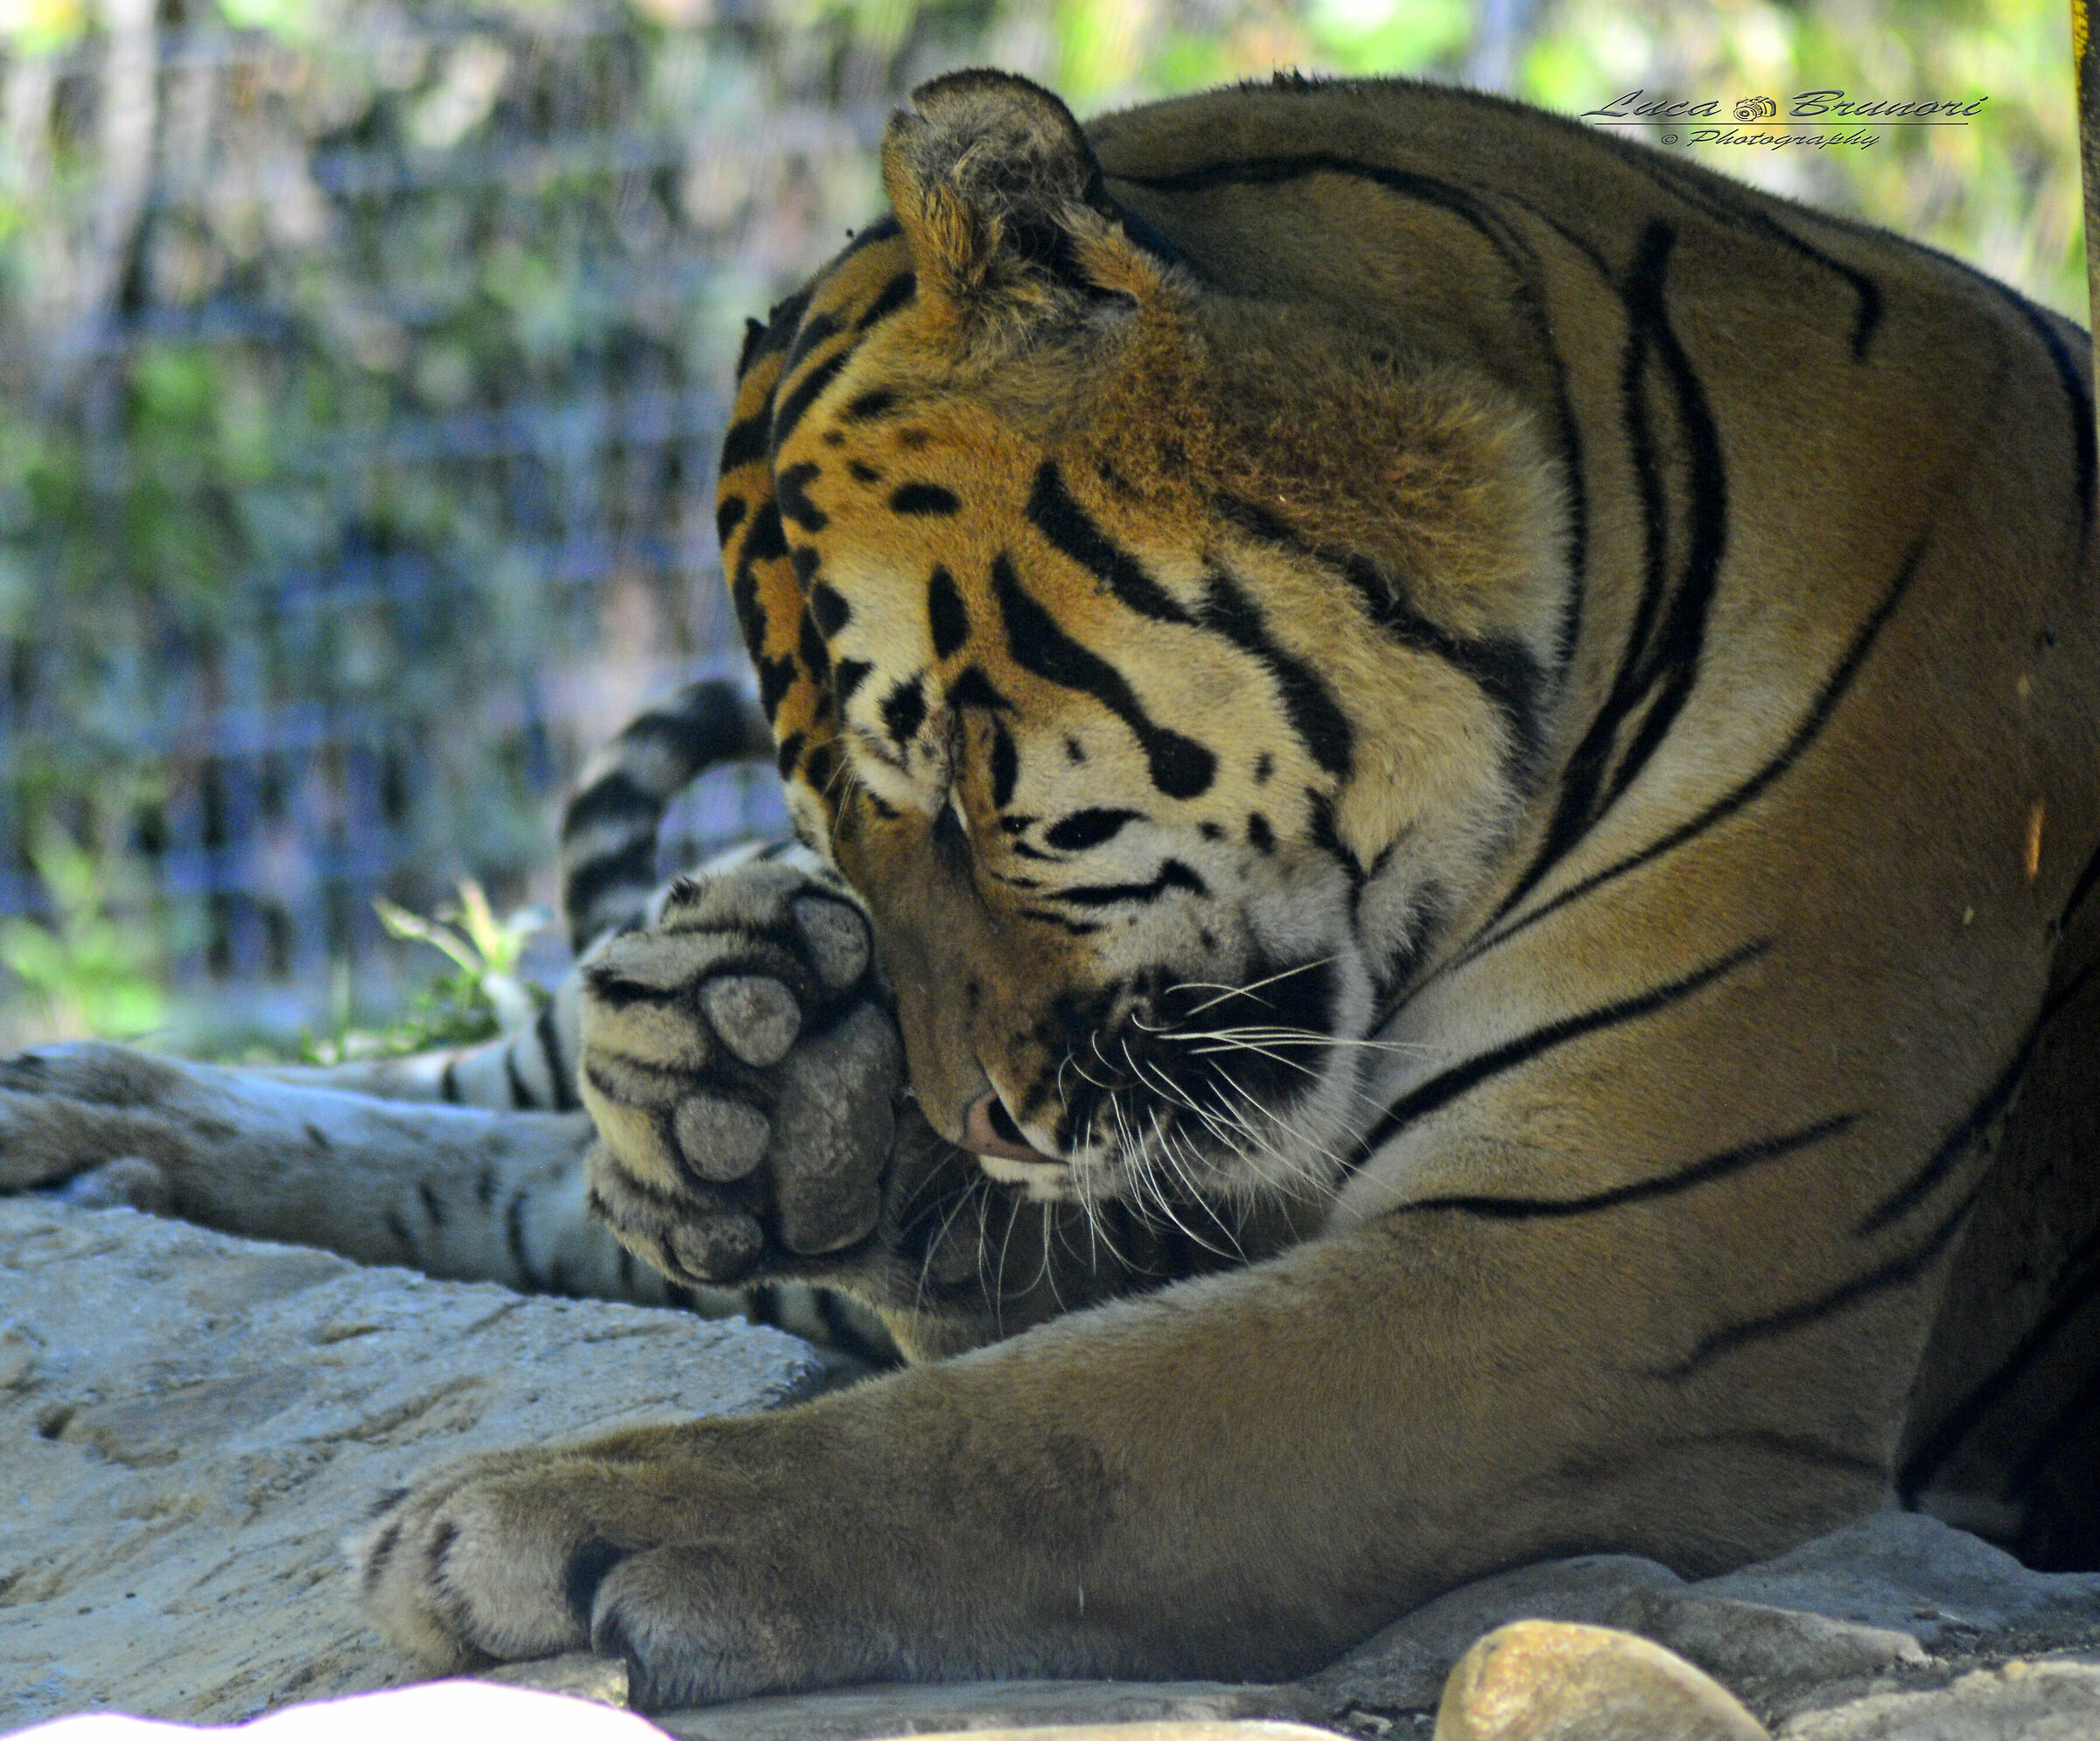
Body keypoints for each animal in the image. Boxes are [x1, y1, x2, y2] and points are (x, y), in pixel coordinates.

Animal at [4, 67, 2098, 1713]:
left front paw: (538, 1520)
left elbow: (1049, 1430)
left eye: (947, 764)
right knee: (494, 1114)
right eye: (834, 819)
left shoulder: (1610, 1275)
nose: (978, 1122)